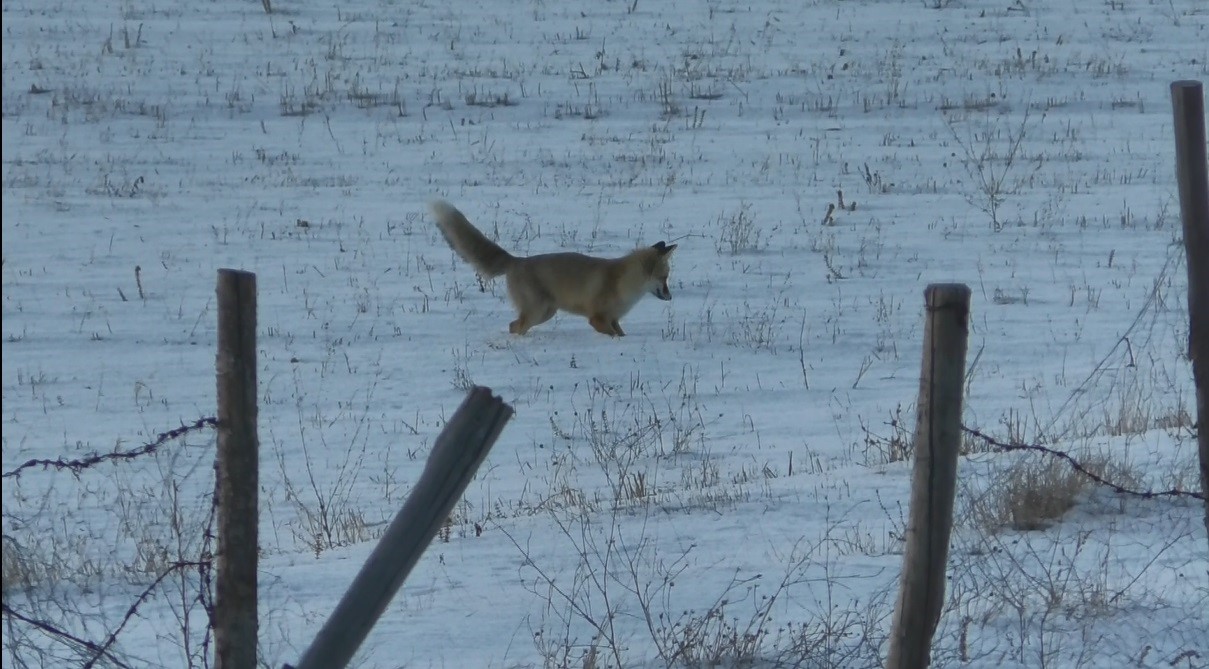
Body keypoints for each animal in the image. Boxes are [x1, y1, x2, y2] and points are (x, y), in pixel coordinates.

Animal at [427, 197, 677, 333]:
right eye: (664, 278)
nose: (670, 297)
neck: (622, 283)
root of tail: (516, 260)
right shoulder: (597, 319)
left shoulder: (613, 320)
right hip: (537, 312)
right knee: (514, 327)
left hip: (546, 312)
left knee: (513, 325)